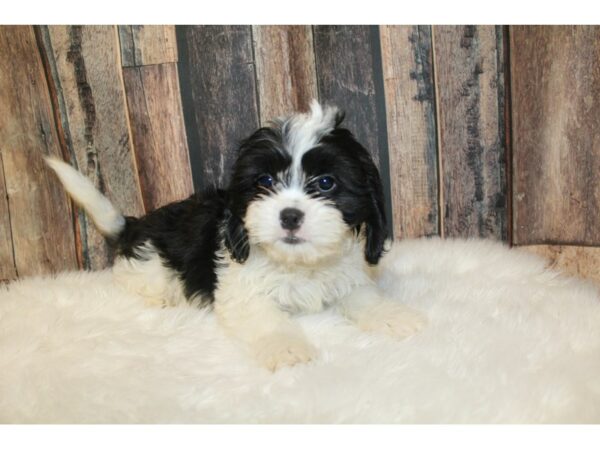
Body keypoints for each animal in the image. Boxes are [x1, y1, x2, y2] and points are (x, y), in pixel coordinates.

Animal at [49, 101, 426, 370]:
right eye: (265, 181)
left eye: (325, 183)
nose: (289, 215)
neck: (297, 264)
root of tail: (134, 225)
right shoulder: (241, 290)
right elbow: (266, 318)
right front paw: (288, 349)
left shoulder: (345, 275)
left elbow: (363, 296)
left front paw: (395, 317)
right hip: (149, 265)